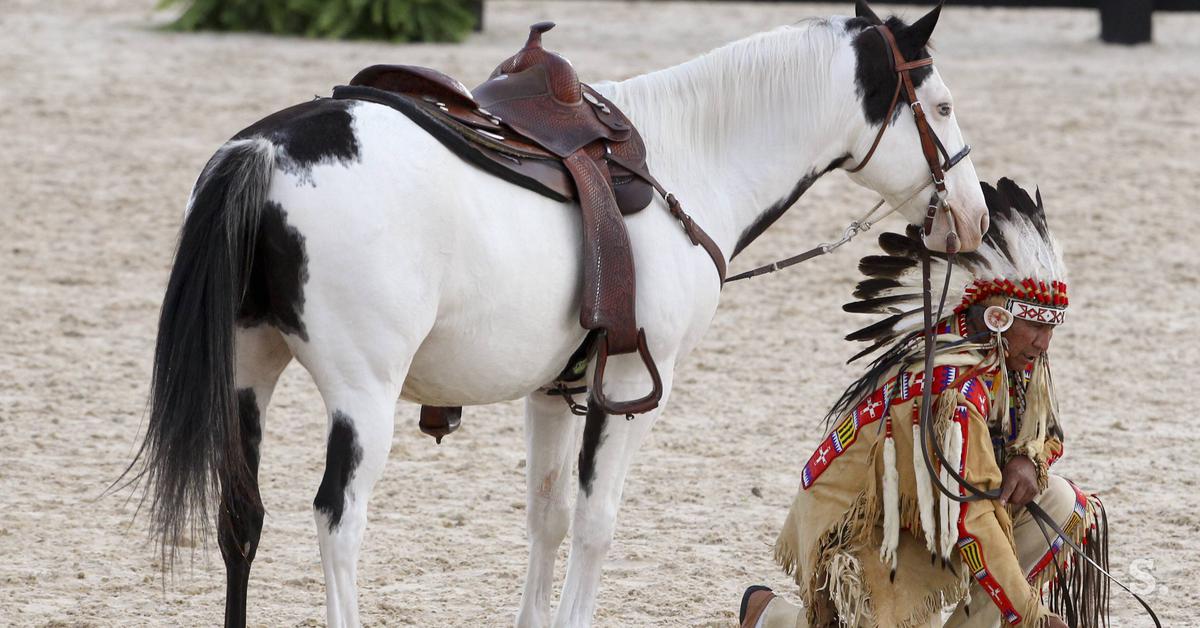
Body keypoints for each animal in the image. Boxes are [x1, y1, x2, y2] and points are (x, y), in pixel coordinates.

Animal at [136, 2, 988, 624]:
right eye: (942, 105)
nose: (973, 216)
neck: (685, 161)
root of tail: (266, 153)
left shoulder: (552, 391)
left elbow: (545, 520)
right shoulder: (634, 388)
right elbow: (594, 522)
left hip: (248, 374)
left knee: (241, 518)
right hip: (362, 395)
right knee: (337, 524)